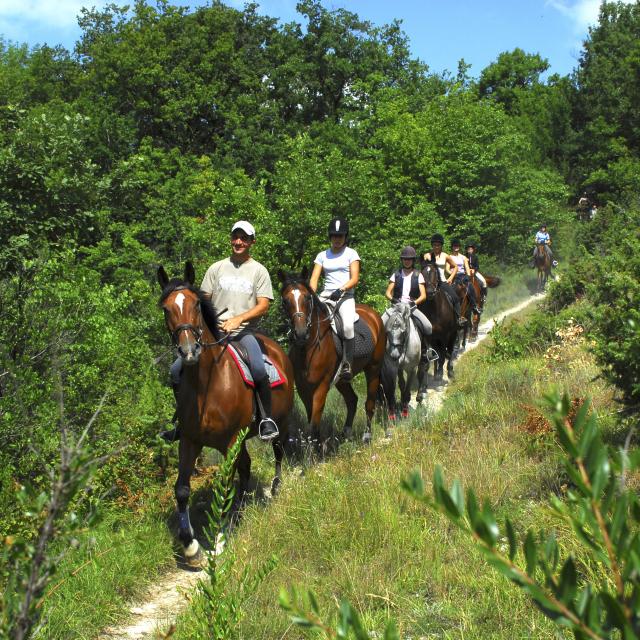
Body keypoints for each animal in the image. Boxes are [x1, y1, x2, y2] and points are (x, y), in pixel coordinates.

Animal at [158, 262, 296, 568]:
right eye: (166, 308)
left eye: (196, 305)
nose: (189, 351)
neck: (207, 386)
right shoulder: (190, 440)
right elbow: (181, 489)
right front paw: (191, 547)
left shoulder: (230, 440)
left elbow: (224, 485)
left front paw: (220, 539)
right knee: (245, 467)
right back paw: (240, 511)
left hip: (280, 424)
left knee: (278, 453)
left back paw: (274, 490)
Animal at [276, 268, 384, 444]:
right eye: (285, 301)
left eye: (307, 297)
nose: (301, 334)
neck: (308, 348)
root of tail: (374, 315)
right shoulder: (303, 387)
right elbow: (311, 420)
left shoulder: (321, 385)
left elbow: (314, 424)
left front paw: (317, 450)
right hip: (341, 379)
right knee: (352, 400)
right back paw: (345, 434)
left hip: (373, 369)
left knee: (369, 403)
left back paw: (366, 436)